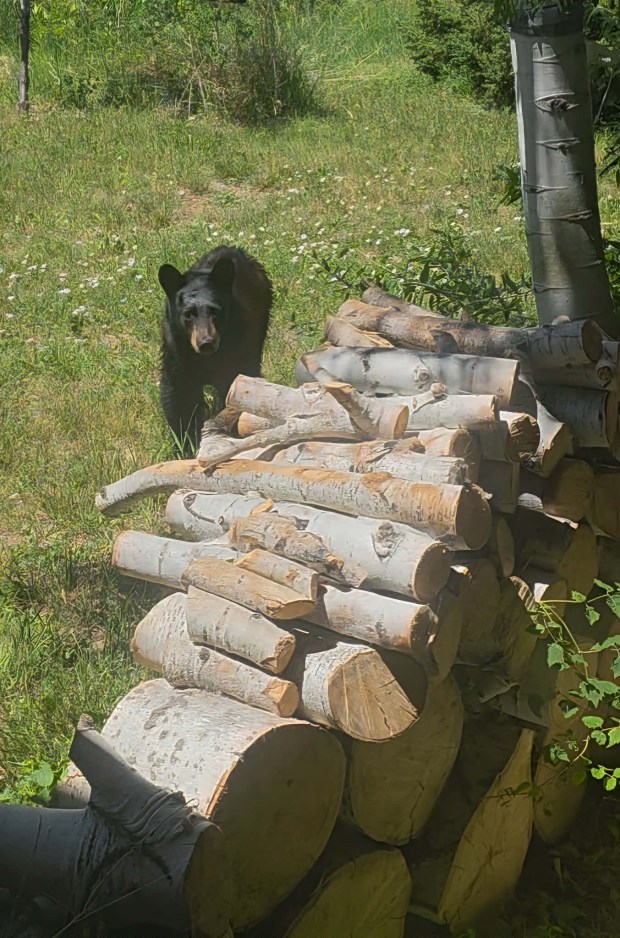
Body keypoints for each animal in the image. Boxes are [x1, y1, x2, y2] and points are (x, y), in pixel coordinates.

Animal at [158, 245, 273, 455]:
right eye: (188, 314)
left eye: (215, 311)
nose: (206, 342)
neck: (207, 357)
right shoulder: (177, 350)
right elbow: (179, 395)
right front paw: (185, 447)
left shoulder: (237, 350)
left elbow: (234, 389)